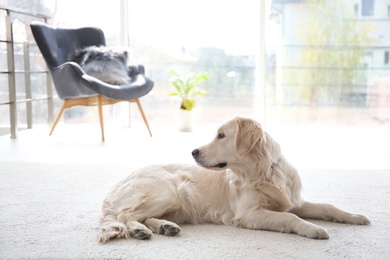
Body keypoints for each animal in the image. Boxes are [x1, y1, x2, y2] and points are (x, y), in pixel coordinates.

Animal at [99, 117, 370, 243]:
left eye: (221, 135)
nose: (193, 152)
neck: (264, 172)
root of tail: (116, 185)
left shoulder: (295, 201)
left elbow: (328, 207)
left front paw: (355, 217)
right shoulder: (249, 214)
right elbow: (290, 218)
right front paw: (313, 229)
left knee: (142, 216)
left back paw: (164, 226)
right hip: (168, 191)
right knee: (125, 215)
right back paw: (139, 230)